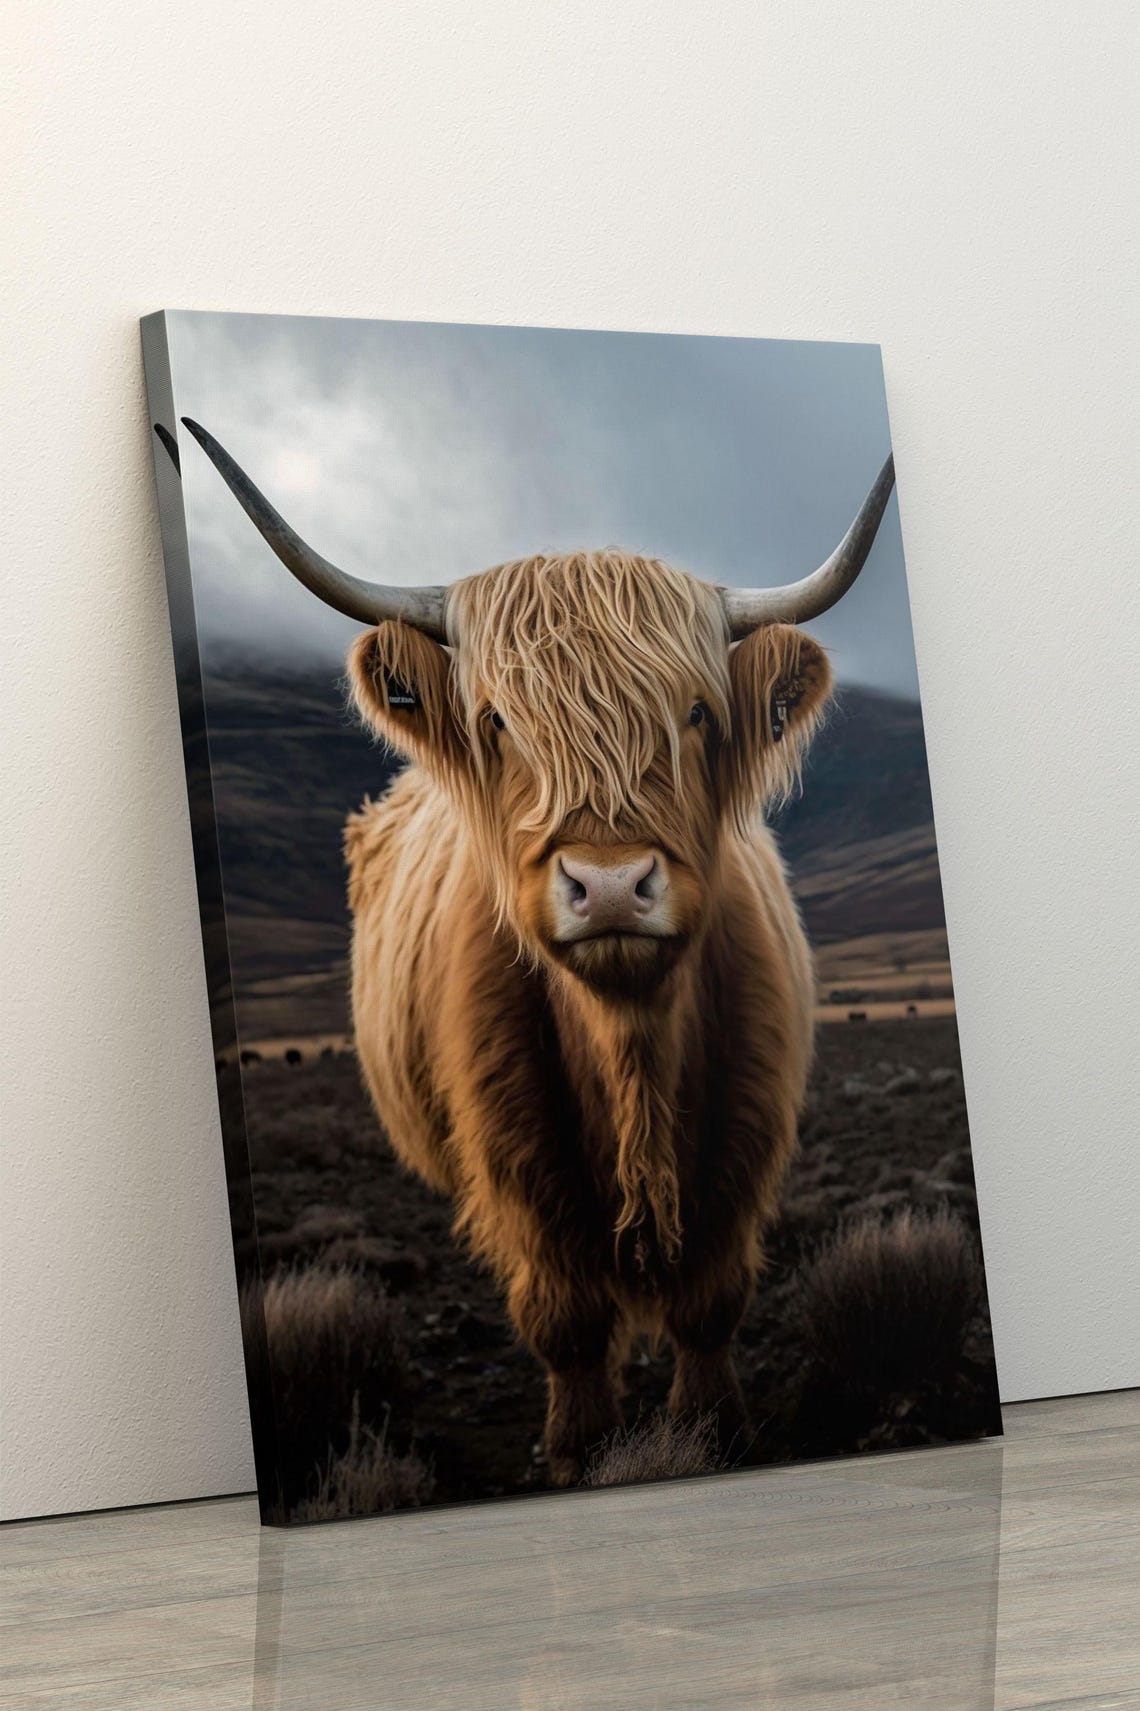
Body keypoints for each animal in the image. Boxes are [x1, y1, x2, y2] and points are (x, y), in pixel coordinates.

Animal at [183, 416, 895, 1484]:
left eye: (696, 713)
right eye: (496, 720)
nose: (609, 883)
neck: (631, 1049)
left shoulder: (746, 1143)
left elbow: (709, 1308)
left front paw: (712, 1431)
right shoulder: (515, 1160)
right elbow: (566, 1323)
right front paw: (580, 1450)